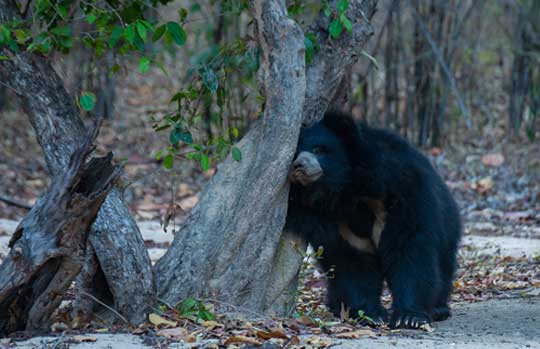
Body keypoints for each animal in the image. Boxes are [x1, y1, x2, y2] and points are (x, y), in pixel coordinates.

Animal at [286, 110, 460, 328]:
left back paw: (439, 309)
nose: (299, 165)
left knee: (444, 266)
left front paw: (409, 318)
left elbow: (409, 248)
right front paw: (371, 315)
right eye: (294, 154)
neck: (346, 191)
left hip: (448, 227)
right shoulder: (337, 222)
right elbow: (352, 262)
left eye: (319, 149)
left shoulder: (400, 190)